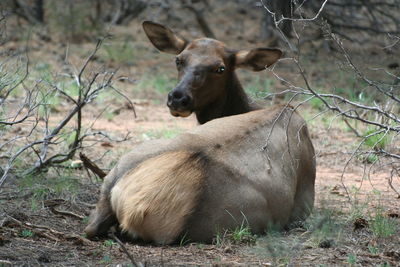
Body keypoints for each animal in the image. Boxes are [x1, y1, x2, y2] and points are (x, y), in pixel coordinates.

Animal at [84, 22, 316, 246]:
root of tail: (127, 203)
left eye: (220, 68)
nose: (178, 97)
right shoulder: (302, 206)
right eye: (179, 59)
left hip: (116, 172)